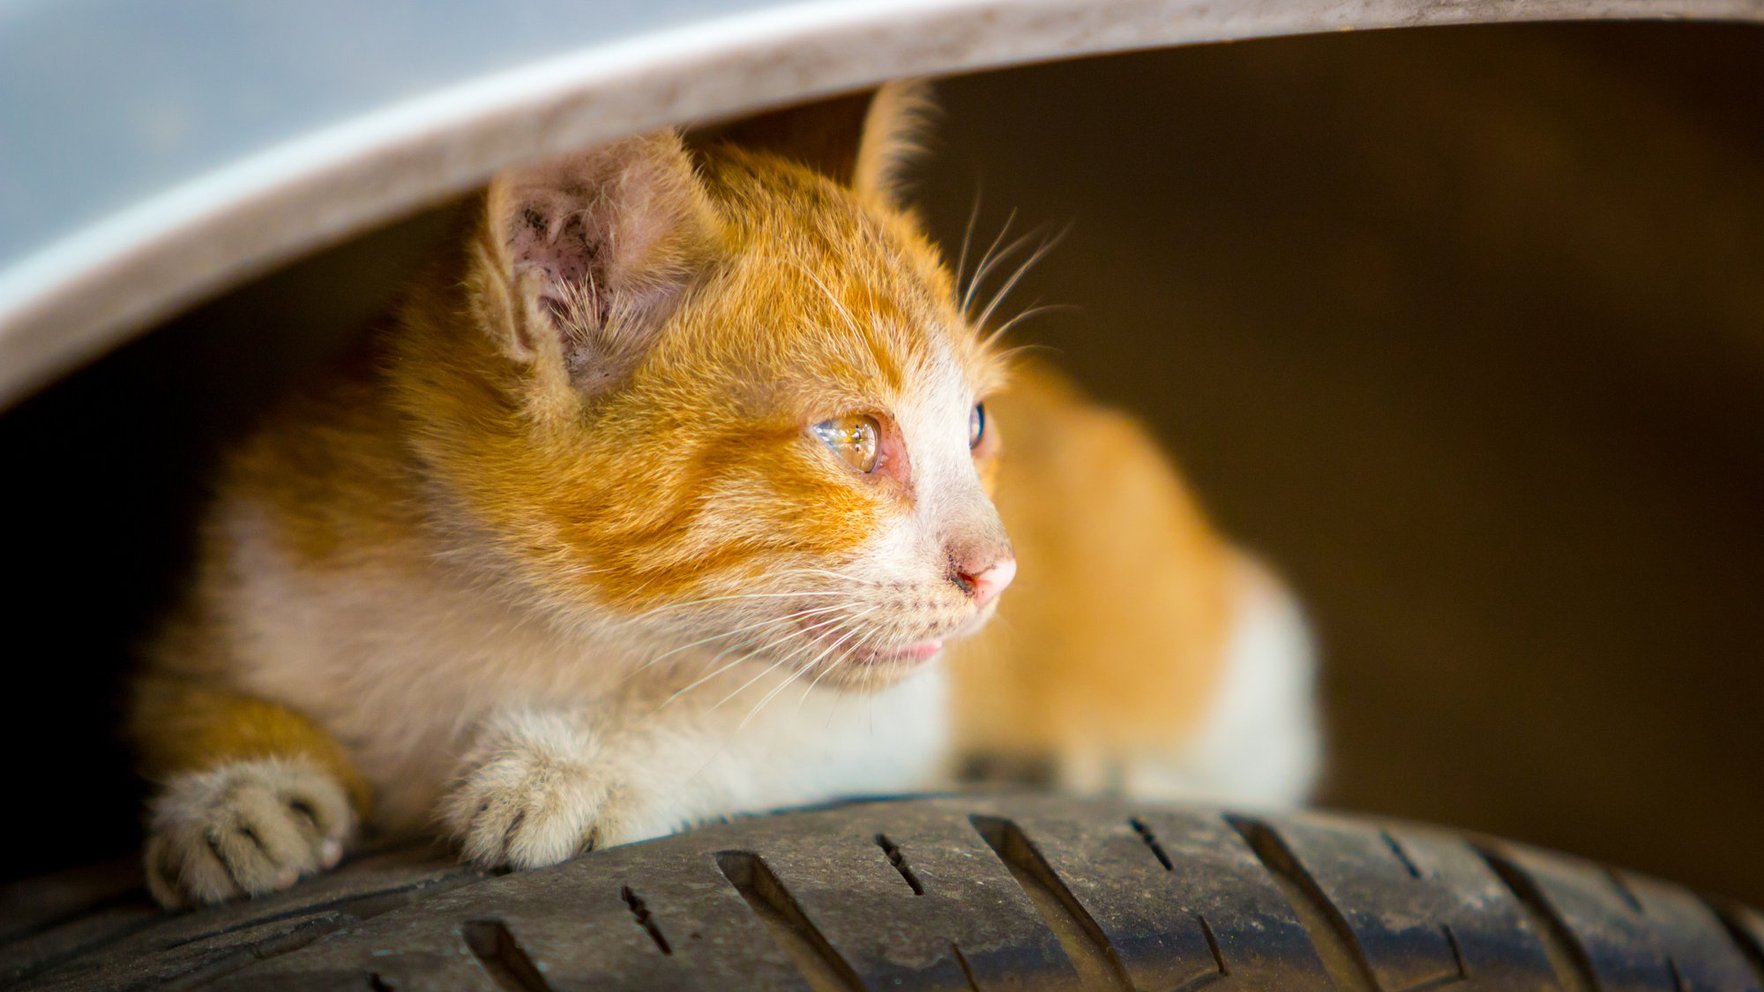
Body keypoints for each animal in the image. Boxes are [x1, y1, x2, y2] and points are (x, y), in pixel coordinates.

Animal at [130, 82, 1319, 903]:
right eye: (853, 437)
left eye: (978, 424)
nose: (998, 569)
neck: (514, 622)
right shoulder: (256, 547)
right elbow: (171, 685)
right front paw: (239, 791)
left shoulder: (899, 703)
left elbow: (759, 716)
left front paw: (578, 764)